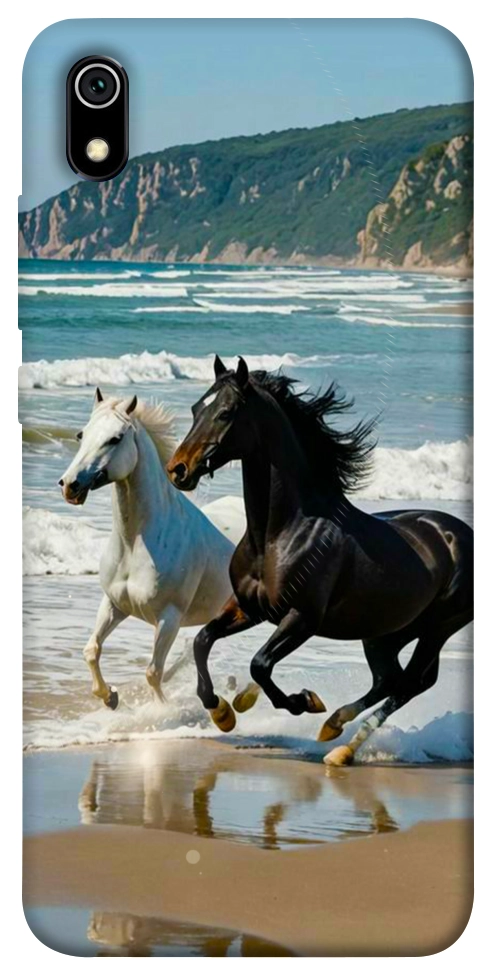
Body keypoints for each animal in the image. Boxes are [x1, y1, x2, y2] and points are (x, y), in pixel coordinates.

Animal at [59, 387, 234, 709]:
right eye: (81, 434)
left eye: (115, 438)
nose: (70, 485)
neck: (135, 544)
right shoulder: (114, 604)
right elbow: (91, 650)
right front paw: (110, 697)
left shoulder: (169, 618)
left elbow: (153, 672)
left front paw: (161, 711)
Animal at [166, 356, 473, 765]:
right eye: (196, 408)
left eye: (226, 412)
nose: (178, 469)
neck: (279, 534)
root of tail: (461, 535)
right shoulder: (249, 608)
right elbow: (202, 641)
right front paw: (223, 712)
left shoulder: (303, 618)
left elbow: (260, 664)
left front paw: (303, 702)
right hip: (386, 631)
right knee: (390, 679)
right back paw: (334, 729)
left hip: (439, 627)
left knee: (410, 683)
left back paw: (340, 745)